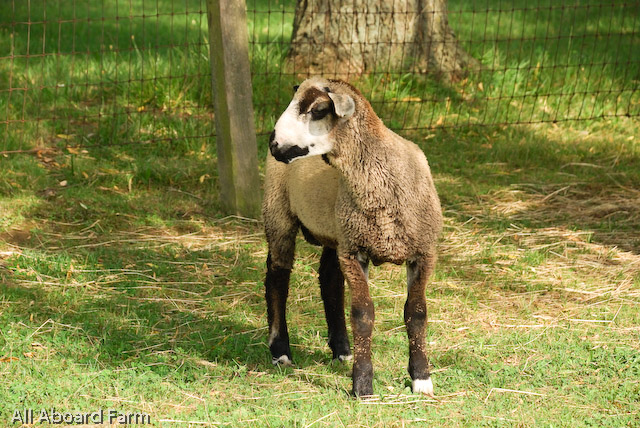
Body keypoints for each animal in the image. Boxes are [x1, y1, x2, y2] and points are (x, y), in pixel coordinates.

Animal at [262, 77, 442, 398]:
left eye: (318, 110)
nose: (274, 143)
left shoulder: (422, 252)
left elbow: (417, 313)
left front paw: (421, 379)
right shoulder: (356, 252)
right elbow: (362, 313)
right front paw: (362, 384)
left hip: (337, 230)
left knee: (329, 278)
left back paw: (342, 350)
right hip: (278, 209)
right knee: (278, 276)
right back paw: (281, 350)